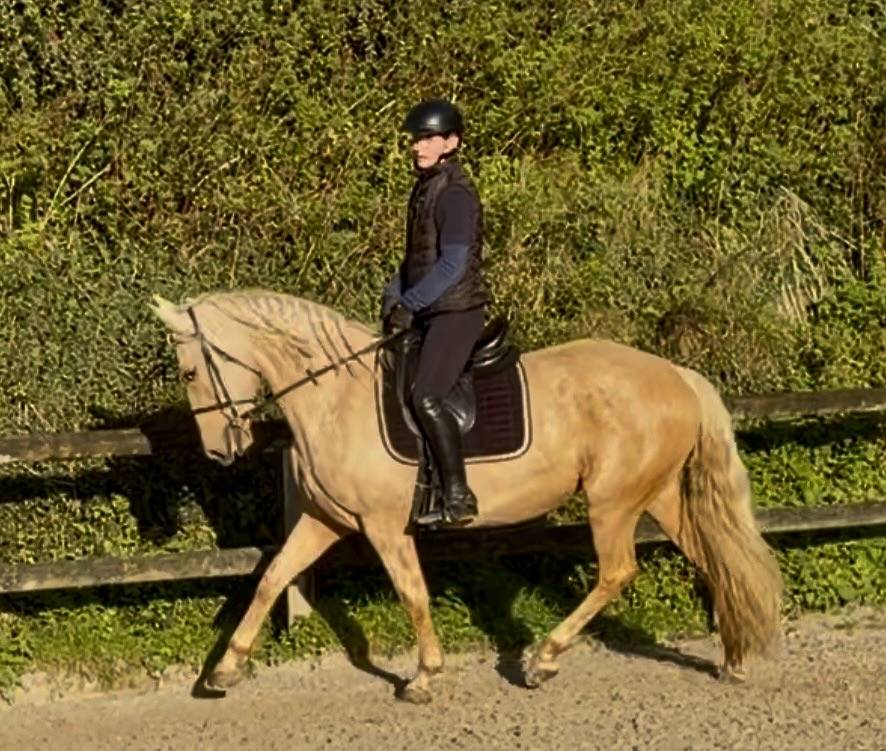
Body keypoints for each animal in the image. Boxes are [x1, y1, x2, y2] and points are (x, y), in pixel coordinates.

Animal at [149, 289, 783, 703]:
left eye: (188, 372)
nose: (219, 451)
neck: (334, 398)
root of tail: (678, 375)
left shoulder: (383, 525)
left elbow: (413, 594)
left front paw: (425, 677)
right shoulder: (325, 518)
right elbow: (273, 578)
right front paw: (224, 671)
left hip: (613, 503)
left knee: (617, 572)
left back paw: (542, 660)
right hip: (657, 496)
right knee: (713, 559)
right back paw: (733, 659)